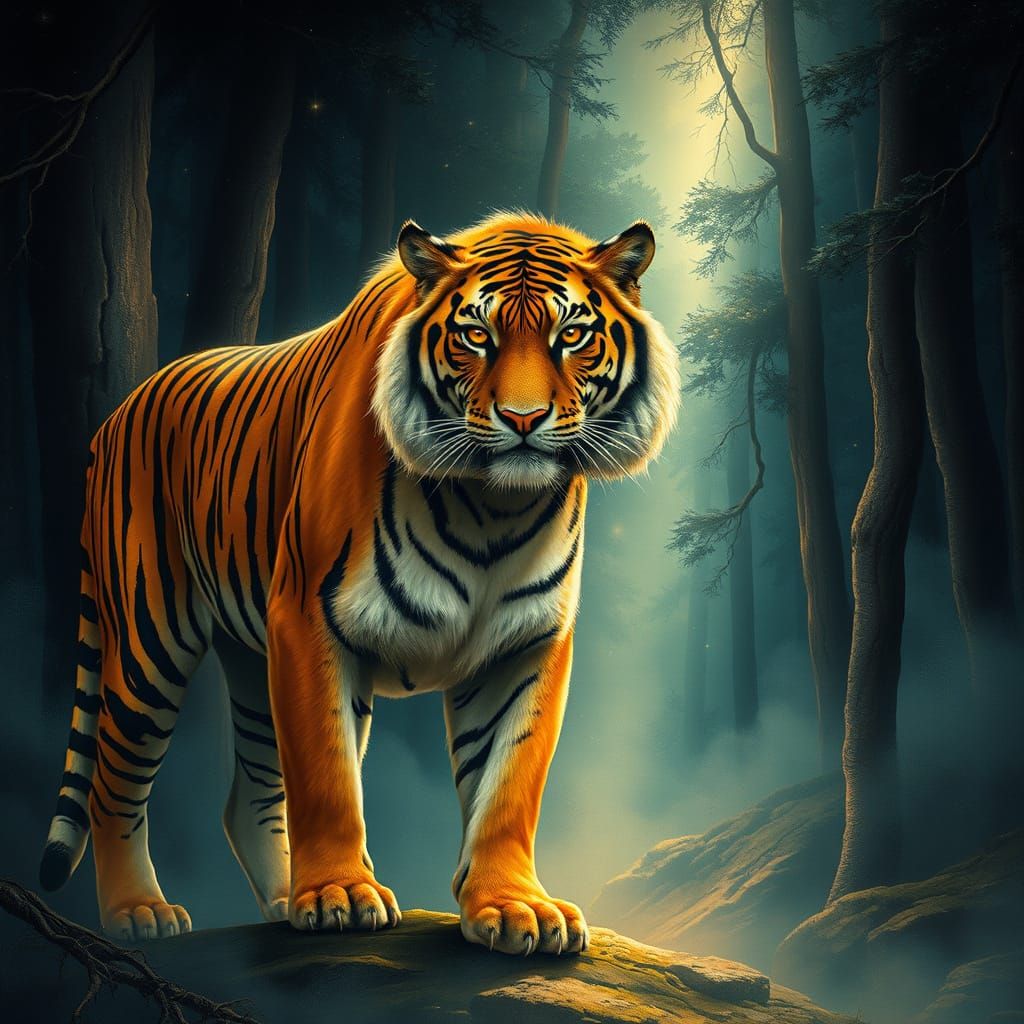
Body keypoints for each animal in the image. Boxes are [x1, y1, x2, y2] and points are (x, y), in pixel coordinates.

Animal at [40, 211, 680, 955]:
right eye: (476, 336)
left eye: (571, 335)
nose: (523, 421)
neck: (493, 505)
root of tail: (117, 413)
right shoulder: (308, 620)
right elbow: (328, 776)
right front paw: (340, 894)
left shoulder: (526, 644)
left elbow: (508, 785)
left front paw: (515, 906)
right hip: (150, 637)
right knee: (113, 781)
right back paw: (140, 911)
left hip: (250, 657)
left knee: (249, 795)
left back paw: (282, 900)